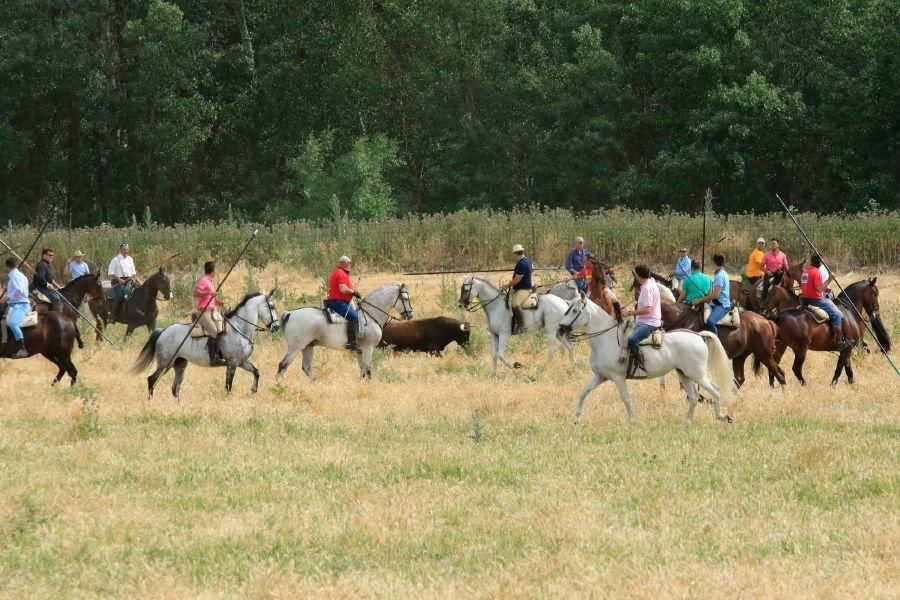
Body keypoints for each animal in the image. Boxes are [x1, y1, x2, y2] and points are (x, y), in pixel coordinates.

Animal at [129, 290, 278, 398]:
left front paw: (252, 391)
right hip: (166, 364)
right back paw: (151, 402)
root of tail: (163, 331)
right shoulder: (232, 363)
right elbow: (228, 385)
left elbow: (256, 371)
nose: (276, 327)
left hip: (180, 364)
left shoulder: (241, 362)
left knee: (175, 388)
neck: (239, 327)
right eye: (271, 306)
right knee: (151, 380)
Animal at [276, 282, 414, 380]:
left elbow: (363, 371)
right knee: (283, 365)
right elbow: (368, 370)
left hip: (308, 346)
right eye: (405, 298)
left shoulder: (360, 351)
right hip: (295, 347)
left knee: (306, 368)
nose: (410, 315)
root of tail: (290, 313)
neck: (370, 315)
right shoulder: (368, 348)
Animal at [556, 294, 740, 426]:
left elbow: (626, 399)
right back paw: (687, 423)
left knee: (715, 391)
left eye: (574, 311)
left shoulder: (617, 378)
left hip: (697, 375)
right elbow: (583, 393)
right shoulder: (600, 376)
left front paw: (632, 421)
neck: (606, 339)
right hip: (684, 374)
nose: (560, 329)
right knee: (695, 397)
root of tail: (698, 336)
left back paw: (721, 416)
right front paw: (576, 419)